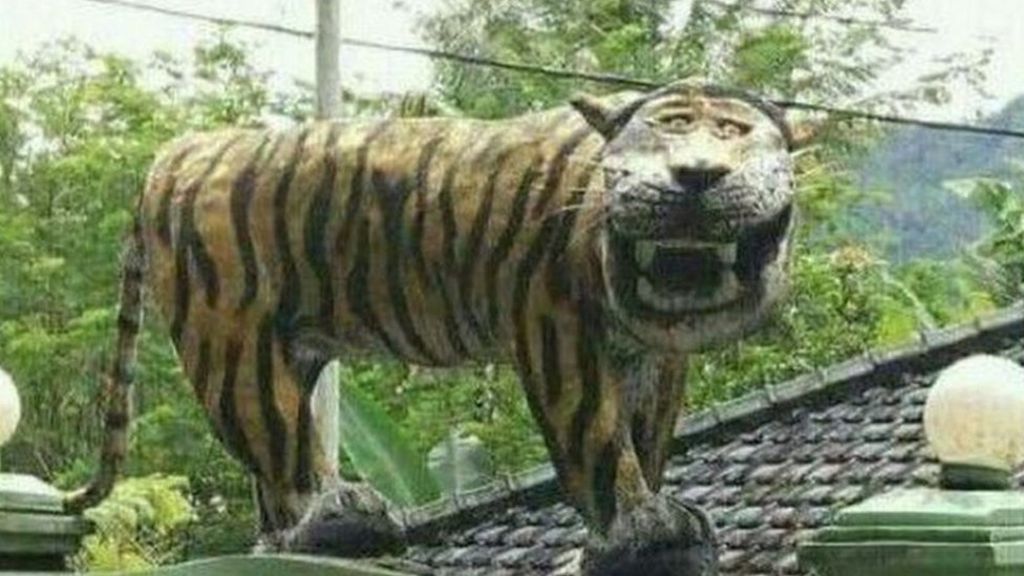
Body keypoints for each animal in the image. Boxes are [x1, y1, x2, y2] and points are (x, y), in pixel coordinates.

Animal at [66, 79, 802, 575]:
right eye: (669, 128)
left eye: (733, 133)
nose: (697, 177)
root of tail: (176, 150)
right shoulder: (558, 333)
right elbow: (596, 439)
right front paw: (643, 529)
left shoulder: (653, 356)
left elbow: (646, 440)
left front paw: (626, 535)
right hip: (232, 342)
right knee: (276, 445)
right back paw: (338, 522)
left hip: (285, 349)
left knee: (272, 469)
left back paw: (301, 535)